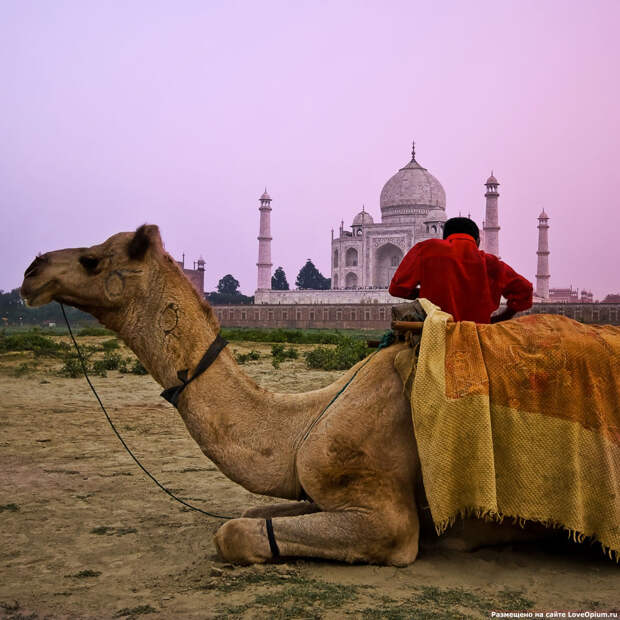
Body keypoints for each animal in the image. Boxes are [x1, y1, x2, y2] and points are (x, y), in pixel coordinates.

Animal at [20, 224, 536, 568]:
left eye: (92, 259)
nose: (31, 269)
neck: (307, 419)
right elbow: (252, 510)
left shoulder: (387, 518)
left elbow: (233, 532)